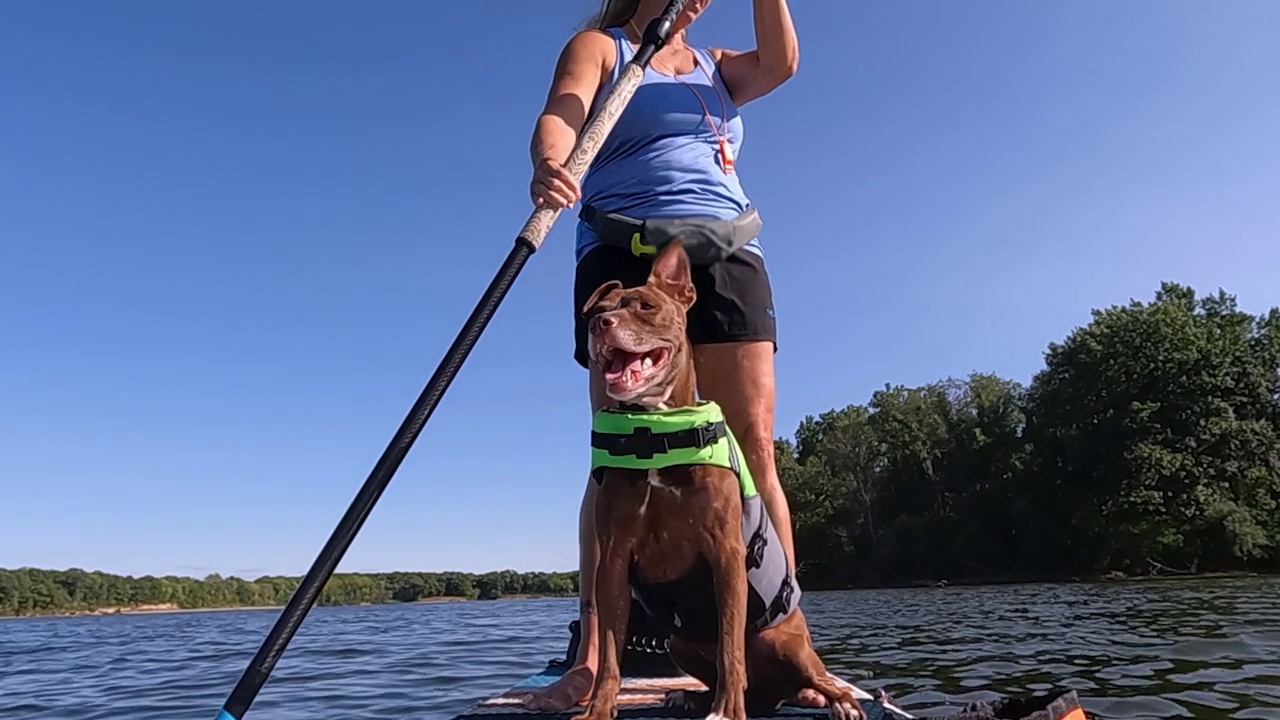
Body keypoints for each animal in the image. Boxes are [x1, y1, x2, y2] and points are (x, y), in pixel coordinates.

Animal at [576, 238, 865, 717]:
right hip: (678, 642)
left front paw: (727, 710)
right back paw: (691, 696)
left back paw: (836, 700)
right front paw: (597, 708)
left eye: (646, 306)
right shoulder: (613, 561)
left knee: (812, 675)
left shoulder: (725, 553)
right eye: (599, 308)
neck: (656, 429)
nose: (600, 324)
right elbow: (612, 656)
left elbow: (731, 645)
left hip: (786, 642)